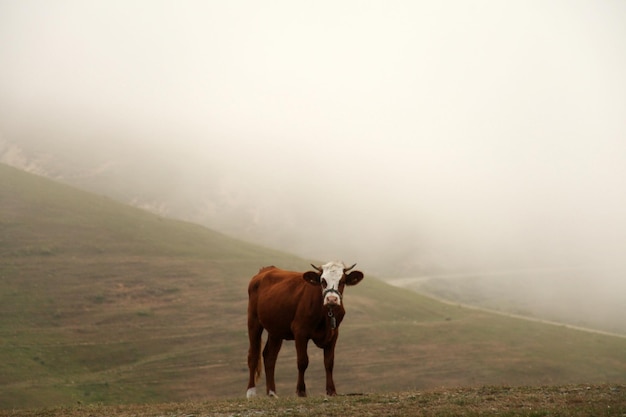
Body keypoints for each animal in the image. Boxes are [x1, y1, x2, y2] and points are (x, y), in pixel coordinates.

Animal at [244, 258, 360, 398]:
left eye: (342, 281)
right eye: (323, 281)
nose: (331, 299)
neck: (325, 315)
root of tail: (265, 270)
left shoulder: (334, 334)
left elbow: (329, 362)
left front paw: (331, 391)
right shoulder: (300, 332)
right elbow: (302, 361)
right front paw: (301, 391)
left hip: (276, 330)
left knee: (269, 357)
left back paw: (272, 393)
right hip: (253, 320)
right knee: (253, 355)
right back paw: (251, 392)